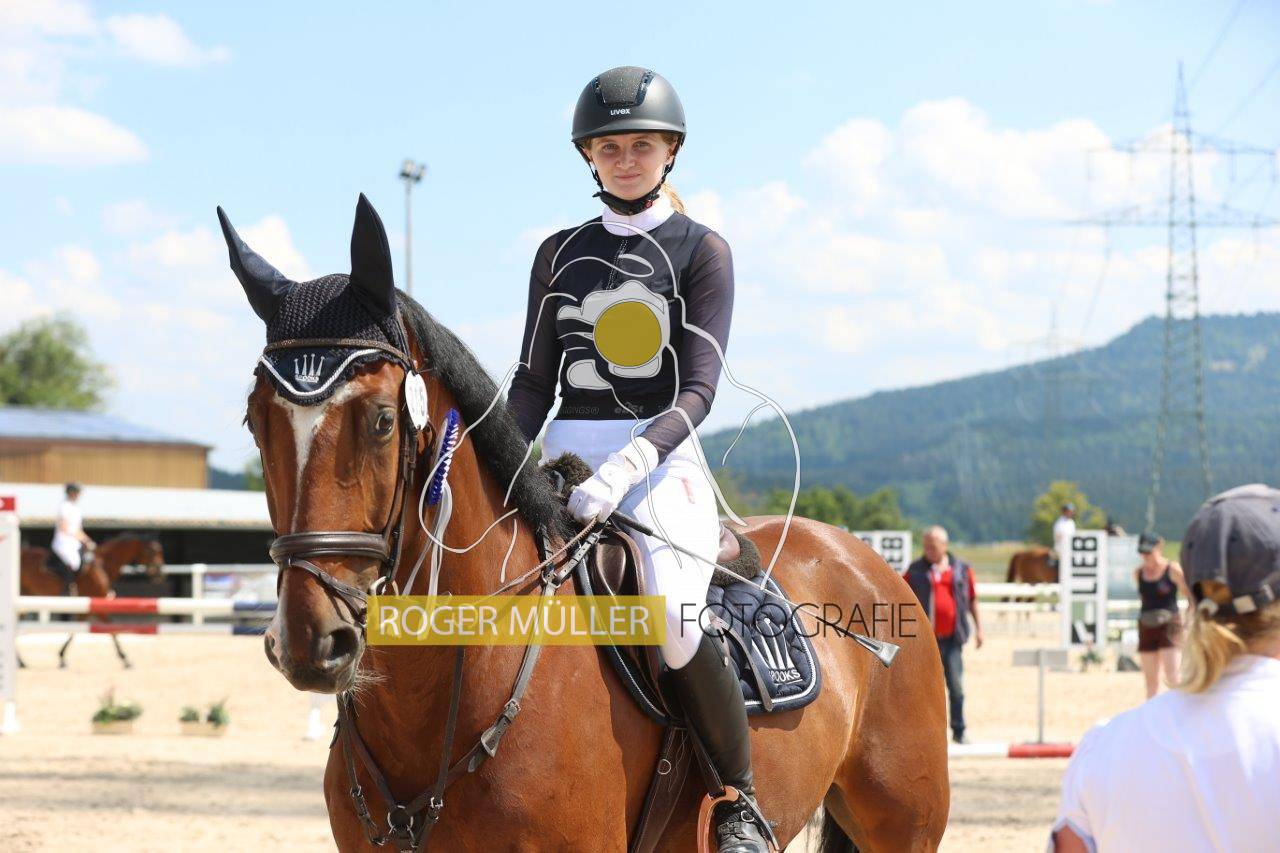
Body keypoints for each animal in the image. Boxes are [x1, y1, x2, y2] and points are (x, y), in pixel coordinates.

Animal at [19, 533, 165, 668]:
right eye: (152, 551)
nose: (159, 573)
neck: (102, 565)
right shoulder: (99, 607)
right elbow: (112, 629)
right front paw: (125, 659)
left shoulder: (88, 607)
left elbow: (75, 630)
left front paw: (62, 657)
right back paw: (20, 661)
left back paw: (21, 661)